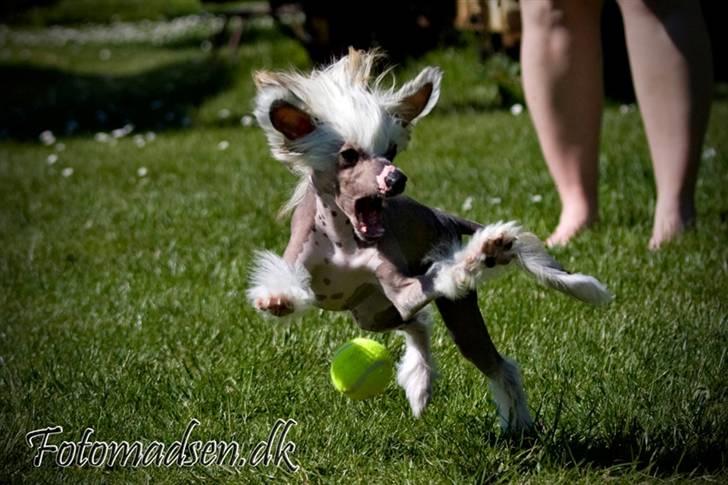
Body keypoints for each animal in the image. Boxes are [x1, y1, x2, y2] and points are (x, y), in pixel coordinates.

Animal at [247, 47, 612, 430]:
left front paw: (484, 252)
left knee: (496, 364)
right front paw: (276, 299)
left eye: (391, 151)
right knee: (417, 324)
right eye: (349, 155)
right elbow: (284, 286)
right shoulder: (302, 261)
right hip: (372, 315)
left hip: (451, 316)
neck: (344, 239)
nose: (396, 180)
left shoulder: (402, 288)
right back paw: (421, 383)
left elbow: (441, 275)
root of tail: (440, 215)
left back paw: (516, 422)